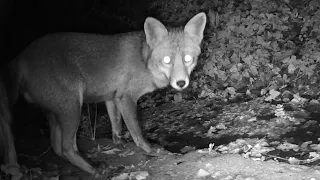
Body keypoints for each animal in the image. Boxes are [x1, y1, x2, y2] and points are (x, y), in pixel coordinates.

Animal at [1, 12, 206, 177]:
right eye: (167, 60)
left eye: (188, 59)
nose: (181, 83)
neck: (143, 60)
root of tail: (21, 57)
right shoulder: (126, 98)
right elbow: (137, 133)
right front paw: (150, 150)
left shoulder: (111, 97)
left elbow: (116, 126)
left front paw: (119, 143)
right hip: (72, 108)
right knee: (67, 148)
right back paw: (94, 169)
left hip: (55, 113)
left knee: (57, 147)